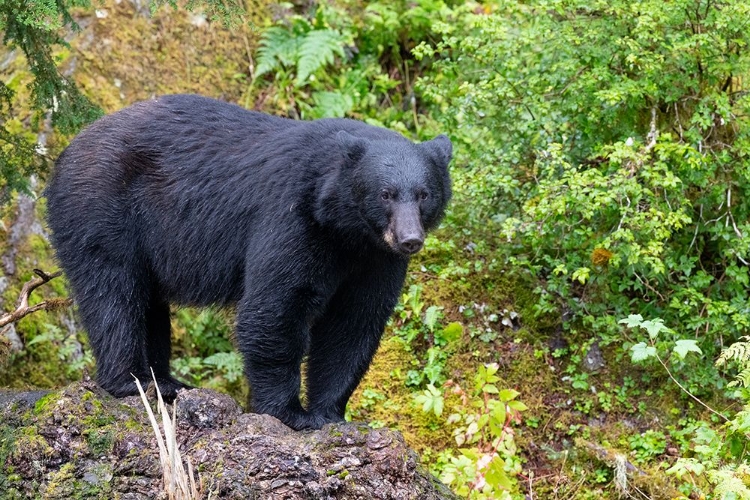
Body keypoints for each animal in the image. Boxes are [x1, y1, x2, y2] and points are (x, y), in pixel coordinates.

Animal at [45, 94, 452, 430]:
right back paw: (135, 382)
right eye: (385, 194)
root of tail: (67, 150)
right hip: (103, 209)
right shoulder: (292, 217)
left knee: (148, 304)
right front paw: (290, 413)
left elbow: (353, 322)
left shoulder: (375, 259)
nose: (410, 239)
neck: (344, 229)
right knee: (114, 292)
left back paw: (167, 381)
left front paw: (331, 414)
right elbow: (275, 306)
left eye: (424, 194)